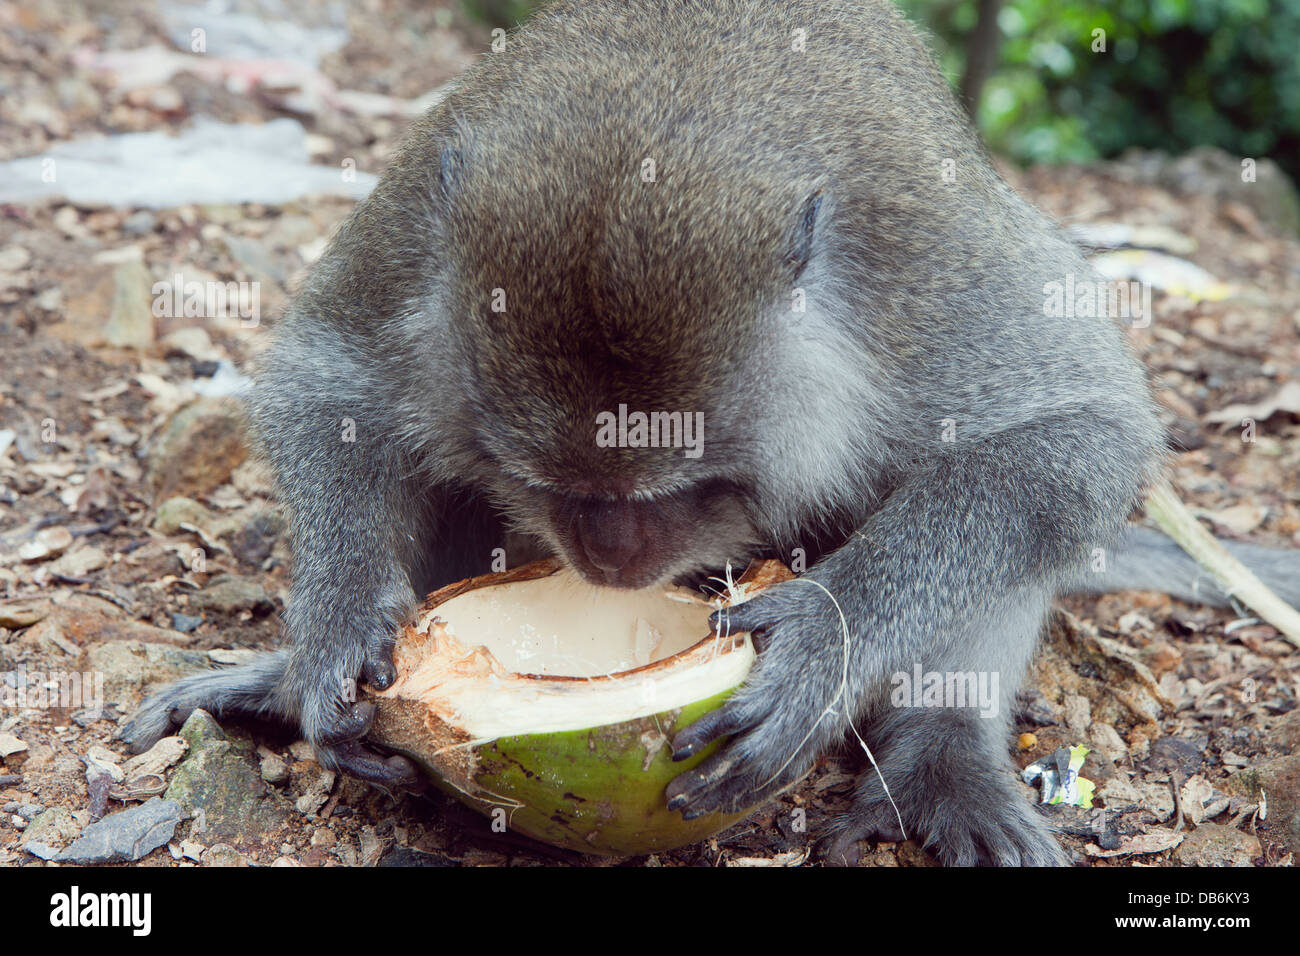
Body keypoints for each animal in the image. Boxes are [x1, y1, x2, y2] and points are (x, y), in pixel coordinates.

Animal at [122, 0, 1300, 868]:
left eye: (685, 488)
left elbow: (1078, 432)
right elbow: (329, 379)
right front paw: (332, 632)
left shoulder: (920, 274)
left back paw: (940, 754)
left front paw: (825, 636)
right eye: (546, 482)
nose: (607, 560)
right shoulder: (422, 225)